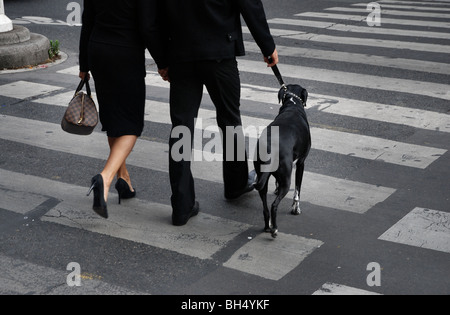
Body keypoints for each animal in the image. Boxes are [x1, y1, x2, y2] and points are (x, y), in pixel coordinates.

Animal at [255, 85, 312, 238]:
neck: (292, 105)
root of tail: (270, 148)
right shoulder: (301, 163)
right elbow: (297, 190)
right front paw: (296, 209)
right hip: (287, 180)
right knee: (274, 205)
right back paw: (274, 229)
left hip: (261, 178)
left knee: (265, 207)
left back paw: (268, 226)